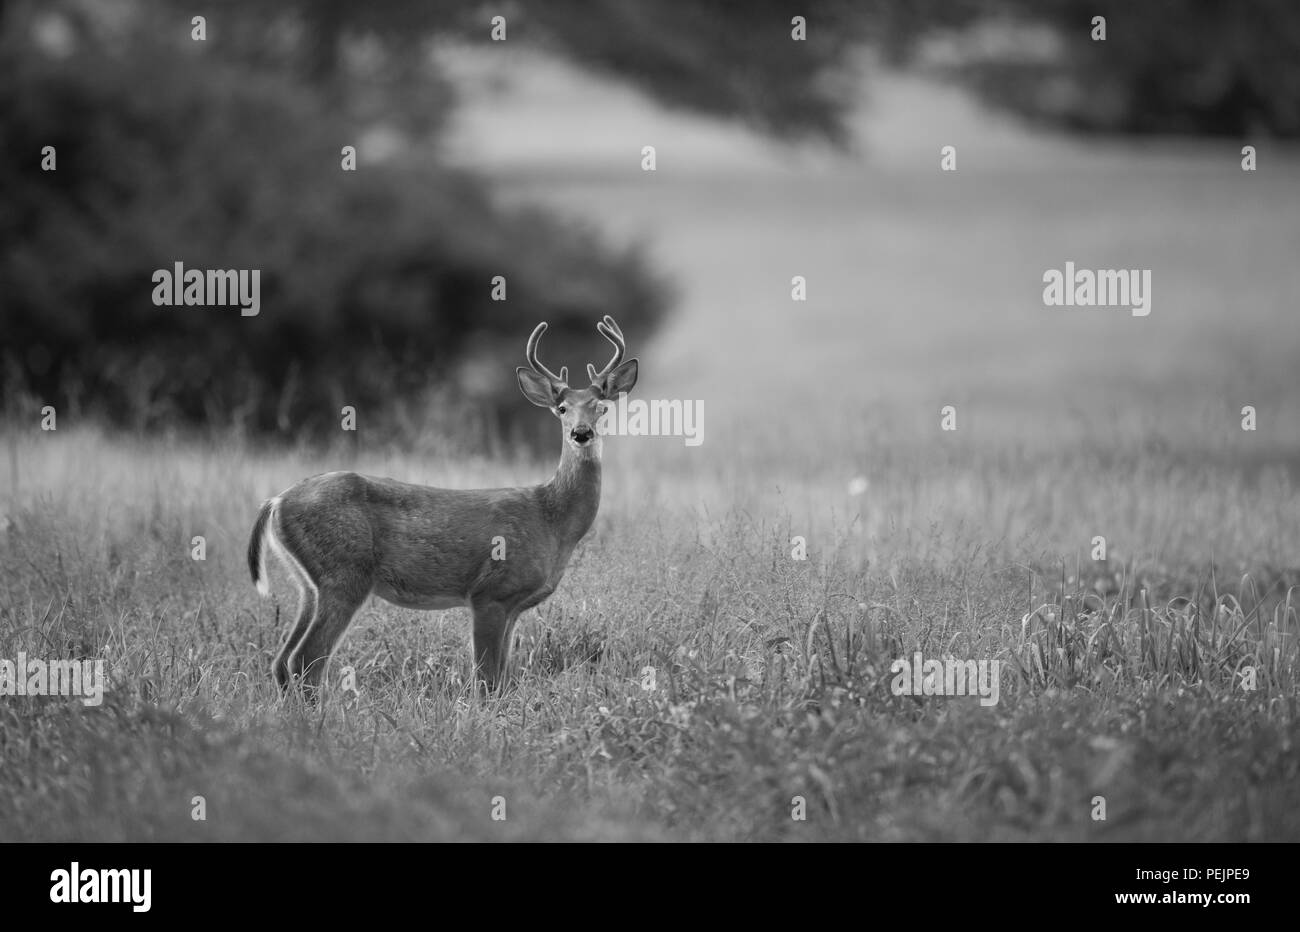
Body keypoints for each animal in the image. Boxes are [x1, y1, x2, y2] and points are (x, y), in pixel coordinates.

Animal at [245, 315, 637, 696]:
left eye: (601, 406)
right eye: (562, 408)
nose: (581, 433)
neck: (551, 518)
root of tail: (276, 501)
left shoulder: (513, 605)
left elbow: (503, 678)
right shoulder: (489, 593)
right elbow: (486, 680)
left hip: (309, 585)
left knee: (281, 663)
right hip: (345, 573)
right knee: (305, 661)